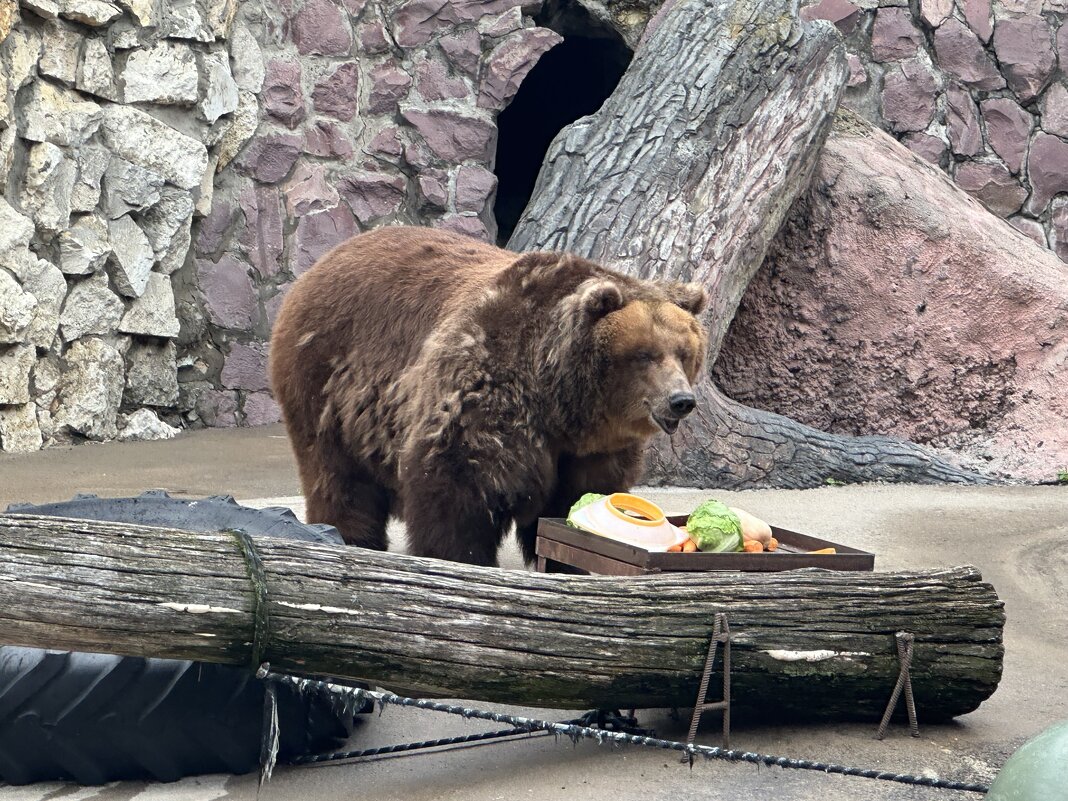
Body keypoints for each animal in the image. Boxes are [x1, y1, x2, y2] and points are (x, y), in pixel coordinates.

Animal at [271, 223, 709, 568]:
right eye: (644, 355)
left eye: (684, 352)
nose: (680, 400)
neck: (562, 401)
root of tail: (323, 262)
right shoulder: (487, 391)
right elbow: (457, 488)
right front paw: (461, 556)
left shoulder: (592, 448)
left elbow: (580, 497)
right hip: (326, 382)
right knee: (337, 475)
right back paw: (350, 536)